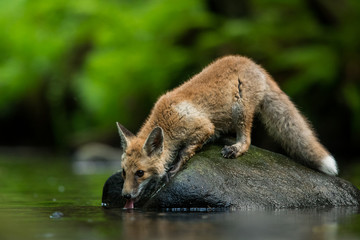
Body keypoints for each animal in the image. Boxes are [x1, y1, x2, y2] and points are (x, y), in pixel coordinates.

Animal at [117, 54, 338, 208]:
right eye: (124, 172)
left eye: (140, 173)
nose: (125, 196)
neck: (167, 120)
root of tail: (253, 64)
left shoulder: (203, 126)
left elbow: (187, 150)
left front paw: (176, 166)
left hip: (240, 109)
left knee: (247, 140)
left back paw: (236, 148)